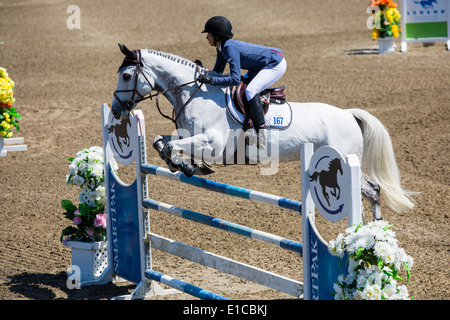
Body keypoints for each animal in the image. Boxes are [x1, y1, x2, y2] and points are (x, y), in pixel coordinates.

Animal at [111, 44, 414, 220]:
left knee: (370, 191)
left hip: (343, 160)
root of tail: (349, 114)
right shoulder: (187, 135)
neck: (194, 94)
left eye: (126, 76)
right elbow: (159, 141)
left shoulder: (214, 145)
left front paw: (187, 166)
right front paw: (182, 165)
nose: (115, 109)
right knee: (372, 191)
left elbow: (173, 146)